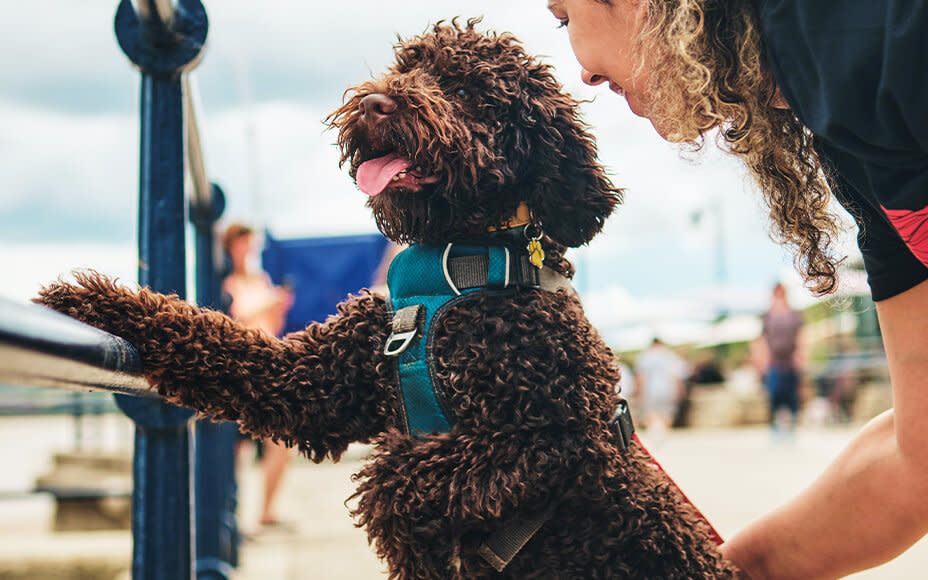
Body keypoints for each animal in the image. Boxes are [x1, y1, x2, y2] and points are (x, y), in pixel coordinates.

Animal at [40, 18, 740, 580]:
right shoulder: (315, 384)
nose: (377, 103)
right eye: (408, 67)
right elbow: (217, 342)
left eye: (467, 91)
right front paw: (94, 303)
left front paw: (394, 511)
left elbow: (404, 473)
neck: (454, 265)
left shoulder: (558, 437)